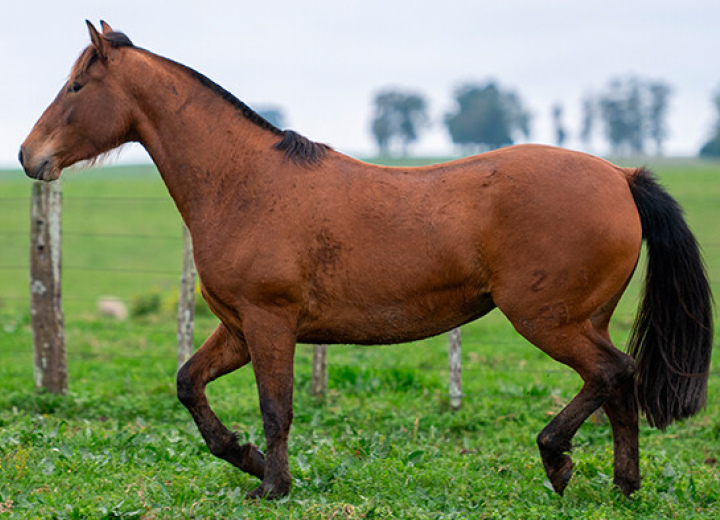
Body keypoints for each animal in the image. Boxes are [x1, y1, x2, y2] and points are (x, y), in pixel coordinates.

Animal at [19, 22, 712, 502]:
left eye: (76, 86)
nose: (29, 156)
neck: (243, 183)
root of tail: (620, 176)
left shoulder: (269, 322)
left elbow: (277, 407)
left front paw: (271, 486)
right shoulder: (238, 327)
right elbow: (190, 383)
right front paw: (243, 457)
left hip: (547, 319)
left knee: (614, 373)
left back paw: (556, 458)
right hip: (584, 318)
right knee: (616, 387)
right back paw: (621, 485)